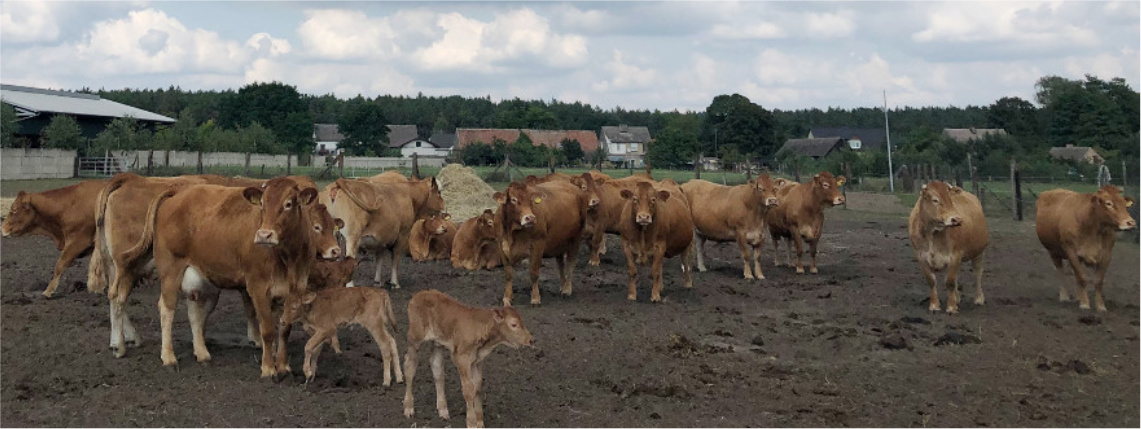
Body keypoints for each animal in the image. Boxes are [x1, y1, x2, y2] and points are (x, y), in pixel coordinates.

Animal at [124, 179, 328, 376]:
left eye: (288, 204)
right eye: (262, 204)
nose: (264, 235)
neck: (287, 258)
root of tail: (180, 190)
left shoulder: (296, 289)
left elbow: (285, 330)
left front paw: (284, 366)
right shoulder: (258, 288)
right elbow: (268, 330)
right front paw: (269, 369)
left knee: (194, 312)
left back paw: (202, 353)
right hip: (170, 270)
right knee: (167, 309)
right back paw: (168, 357)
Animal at [401, 289, 533, 426]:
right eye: (514, 324)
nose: (530, 340)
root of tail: (419, 294)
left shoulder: (477, 360)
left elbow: (478, 386)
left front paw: (480, 421)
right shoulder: (462, 359)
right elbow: (469, 389)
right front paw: (472, 422)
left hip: (437, 342)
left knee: (437, 367)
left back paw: (443, 410)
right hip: (414, 338)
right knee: (409, 365)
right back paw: (408, 408)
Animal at [908, 181, 990, 314]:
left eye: (950, 199)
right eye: (935, 200)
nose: (957, 219)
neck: (933, 232)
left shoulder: (955, 256)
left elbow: (950, 281)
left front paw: (951, 307)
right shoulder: (921, 256)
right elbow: (931, 280)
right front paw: (934, 305)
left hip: (979, 252)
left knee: (978, 273)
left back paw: (979, 298)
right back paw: (957, 298)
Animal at [1040, 184, 1136, 312]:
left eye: (1124, 204)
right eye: (1108, 203)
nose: (1131, 223)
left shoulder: (1106, 255)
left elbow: (1098, 281)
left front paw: (1100, 306)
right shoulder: (1071, 252)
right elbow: (1082, 278)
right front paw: (1084, 303)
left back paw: (1077, 297)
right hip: (1053, 252)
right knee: (1061, 271)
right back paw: (1064, 296)